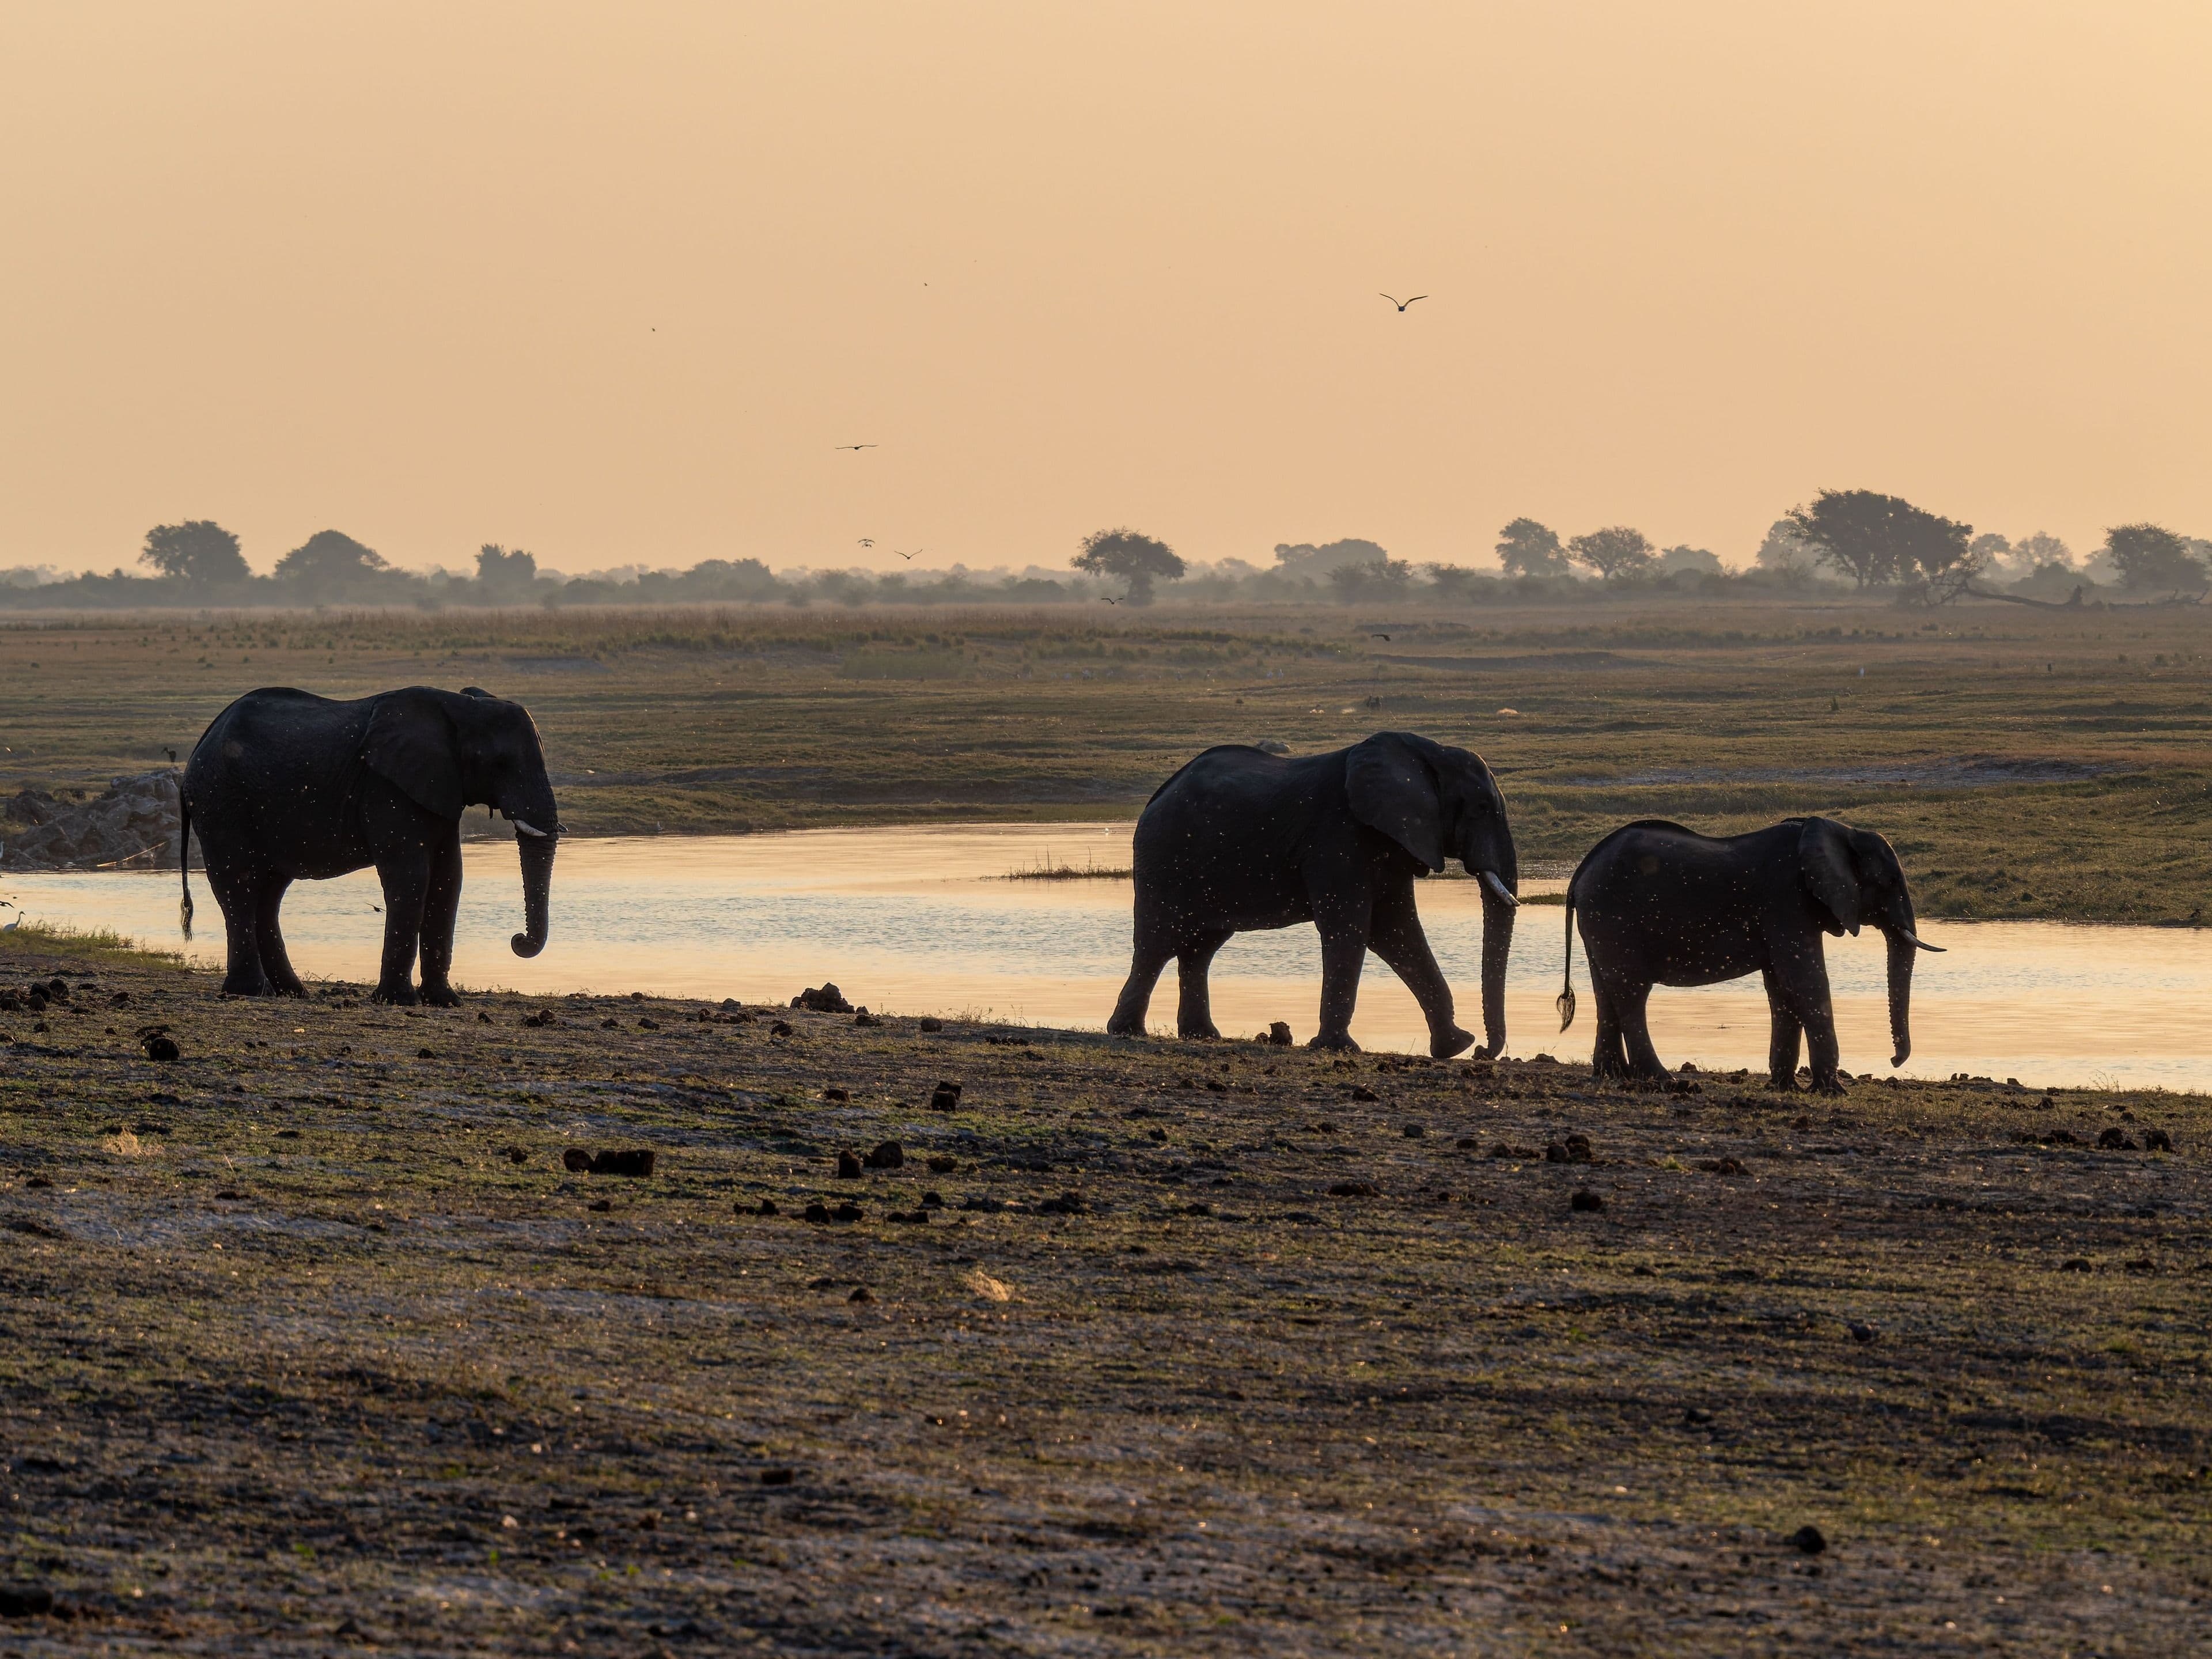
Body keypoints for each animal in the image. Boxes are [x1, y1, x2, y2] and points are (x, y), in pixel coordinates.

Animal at [179, 686, 560, 1004]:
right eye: (501, 764)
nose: (517, 940)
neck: (461, 707)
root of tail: (201, 743)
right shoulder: (387, 788)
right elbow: (410, 878)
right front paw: (399, 1001)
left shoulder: (440, 789)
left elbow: (449, 879)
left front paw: (445, 1002)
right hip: (222, 802)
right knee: (240, 882)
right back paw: (252, 992)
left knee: (268, 893)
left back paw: (292, 992)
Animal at [1106, 731, 1520, 1057]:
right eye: (1481, 808)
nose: (1485, 1052)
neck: (1429, 751)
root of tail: (1158, 795)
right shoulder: (1337, 836)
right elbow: (1352, 926)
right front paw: (1338, 1048)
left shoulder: (1392, 841)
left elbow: (1396, 931)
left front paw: (1454, 1046)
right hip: (1165, 856)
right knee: (1158, 942)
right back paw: (1127, 1032)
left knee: (1201, 948)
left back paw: (1203, 1036)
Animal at [1557, 816, 1942, 1092]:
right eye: (1890, 882)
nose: (1893, 1060)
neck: (1841, 831)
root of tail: (1579, 874)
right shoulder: (1786, 901)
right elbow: (1805, 980)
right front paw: (1831, 1091)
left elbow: (1782, 986)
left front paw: (1786, 1088)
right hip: (1613, 913)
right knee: (1632, 992)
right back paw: (1665, 1081)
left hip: (1600, 920)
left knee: (1606, 990)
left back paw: (1613, 1076)